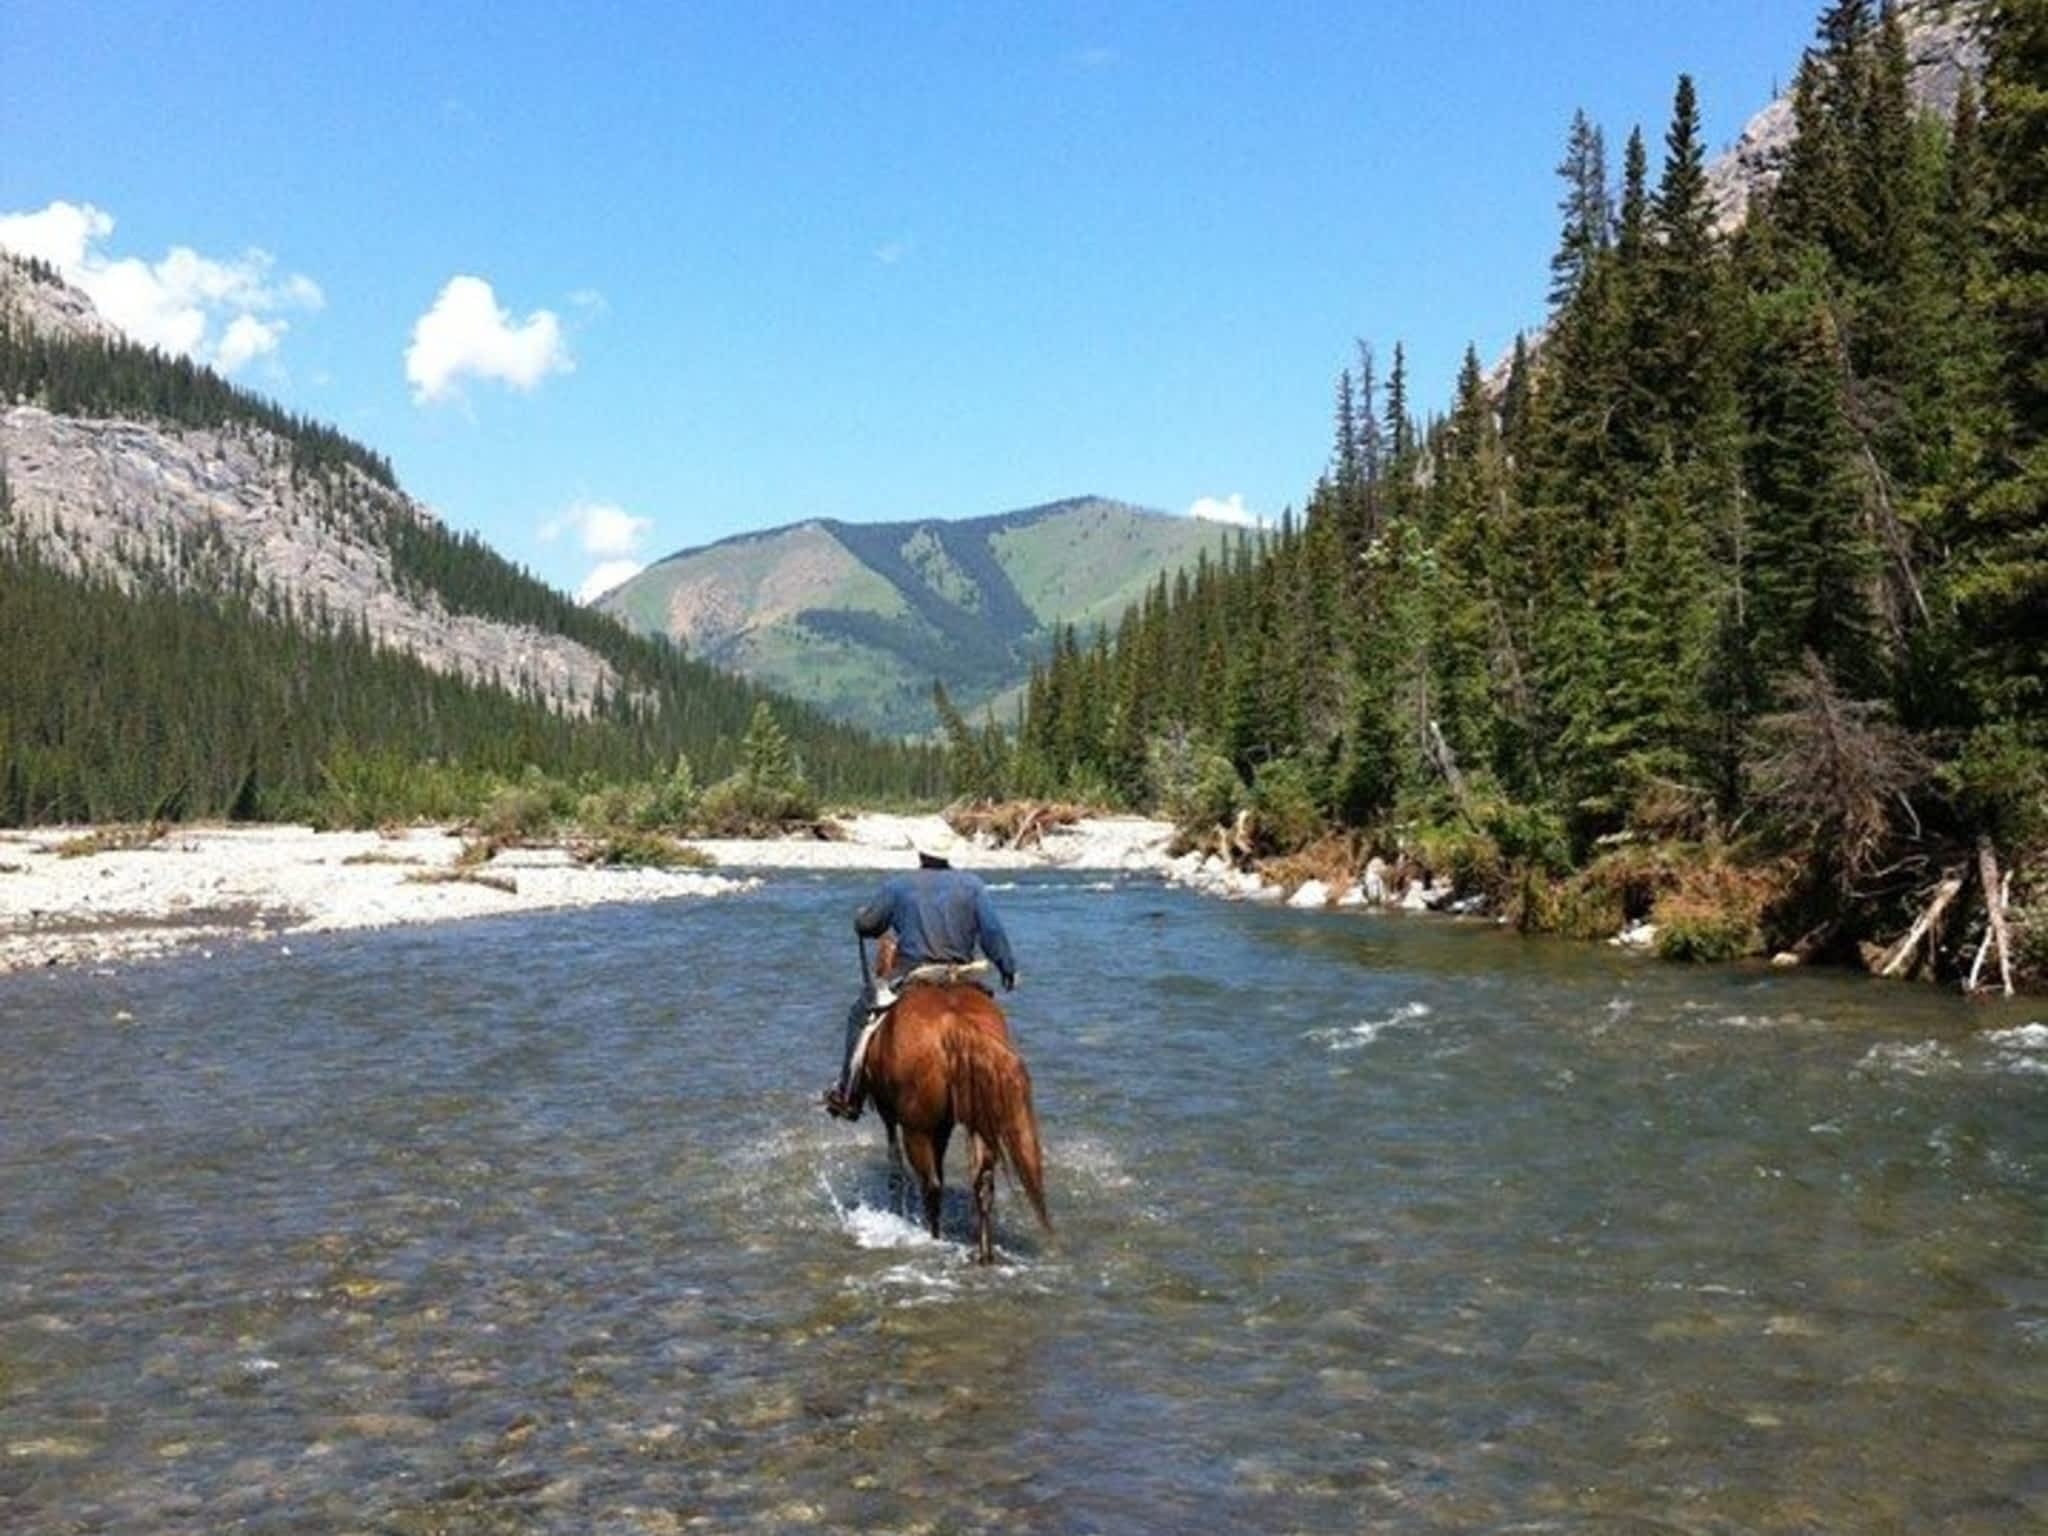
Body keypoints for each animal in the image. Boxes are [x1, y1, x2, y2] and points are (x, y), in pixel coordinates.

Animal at [860, 966, 1056, 1269]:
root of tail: (955, 1024)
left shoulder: (890, 1115)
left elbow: (896, 1168)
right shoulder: (943, 1126)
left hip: (916, 1129)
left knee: (931, 1185)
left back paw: (934, 1237)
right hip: (981, 1125)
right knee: (982, 1184)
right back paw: (984, 1254)